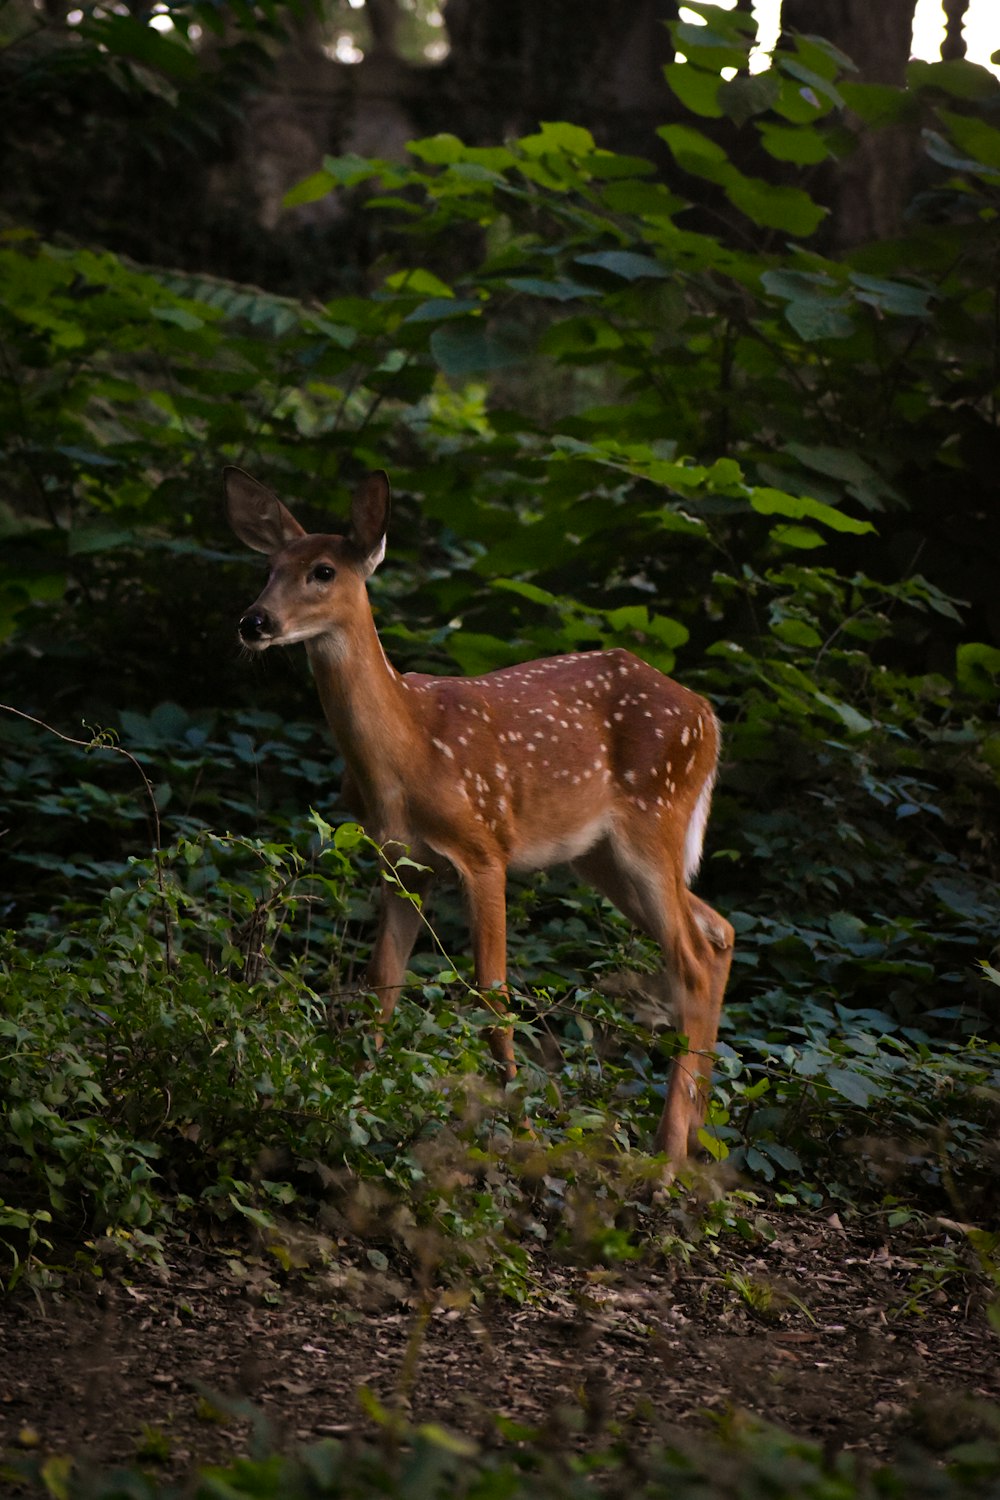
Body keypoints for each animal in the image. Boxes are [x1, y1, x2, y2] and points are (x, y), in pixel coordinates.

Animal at [224, 462, 734, 1164]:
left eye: (323, 571)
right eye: (269, 566)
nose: (254, 621)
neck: (406, 754)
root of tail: (706, 716)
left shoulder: (485, 848)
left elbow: (493, 995)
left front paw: (521, 1133)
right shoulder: (402, 864)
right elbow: (382, 984)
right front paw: (355, 1102)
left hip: (652, 820)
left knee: (691, 959)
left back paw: (668, 1154)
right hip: (601, 857)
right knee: (719, 933)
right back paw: (700, 1136)